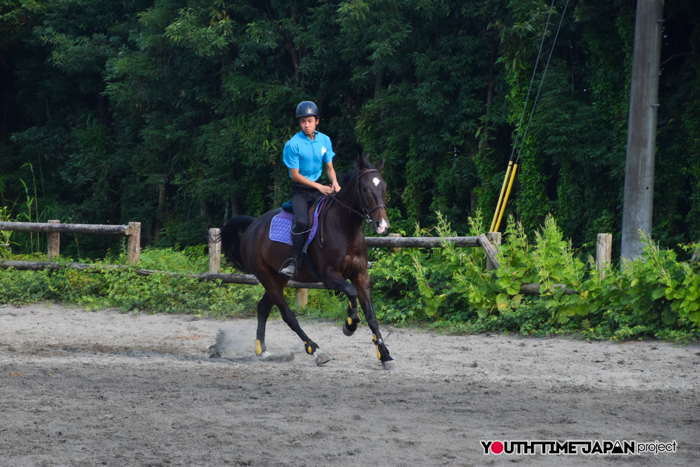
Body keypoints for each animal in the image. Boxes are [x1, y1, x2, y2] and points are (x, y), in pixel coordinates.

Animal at [220, 155, 395, 370]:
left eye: (384, 186)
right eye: (364, 188)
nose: (382, 225)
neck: (346, 230)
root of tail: (253, 225)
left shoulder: (361, 275)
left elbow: (371, 316)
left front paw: (385, 355)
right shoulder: (329, 276)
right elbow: (351, 293)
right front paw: (350, 325)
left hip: (278, 278)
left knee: (263, 308)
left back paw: (262, 351)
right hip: (265, 276)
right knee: (288, 315)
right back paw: (315, 350)